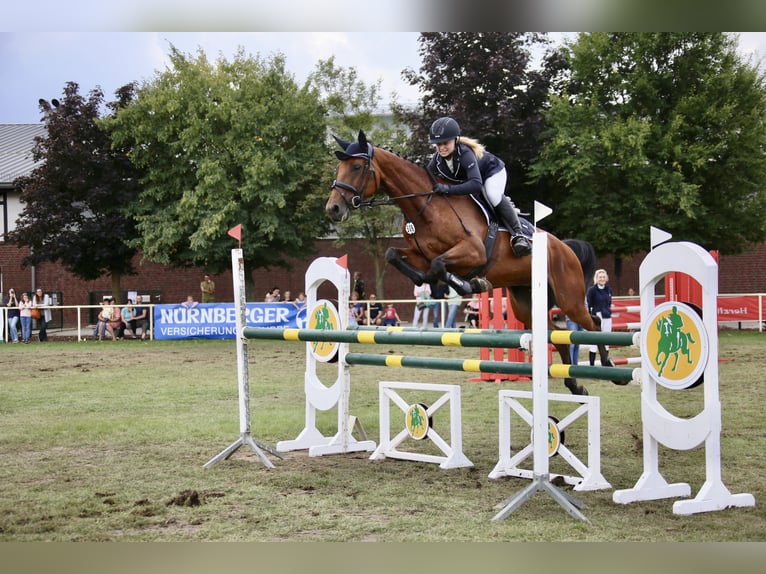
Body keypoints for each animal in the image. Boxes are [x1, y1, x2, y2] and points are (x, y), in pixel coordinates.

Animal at [328, 130, 616, 396]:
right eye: (338, 167)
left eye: (356, 167)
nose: (333, 209)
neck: (425, 205)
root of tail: (564, 246)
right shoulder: (419, 253)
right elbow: (394, 255)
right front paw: (429, 279)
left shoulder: (473, 252)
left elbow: (439, 266)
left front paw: (470, 284)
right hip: (526, 303)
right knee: (558, 336)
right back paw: (575, 385)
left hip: (569, 297)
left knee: (592, 323)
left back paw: (610, 367)